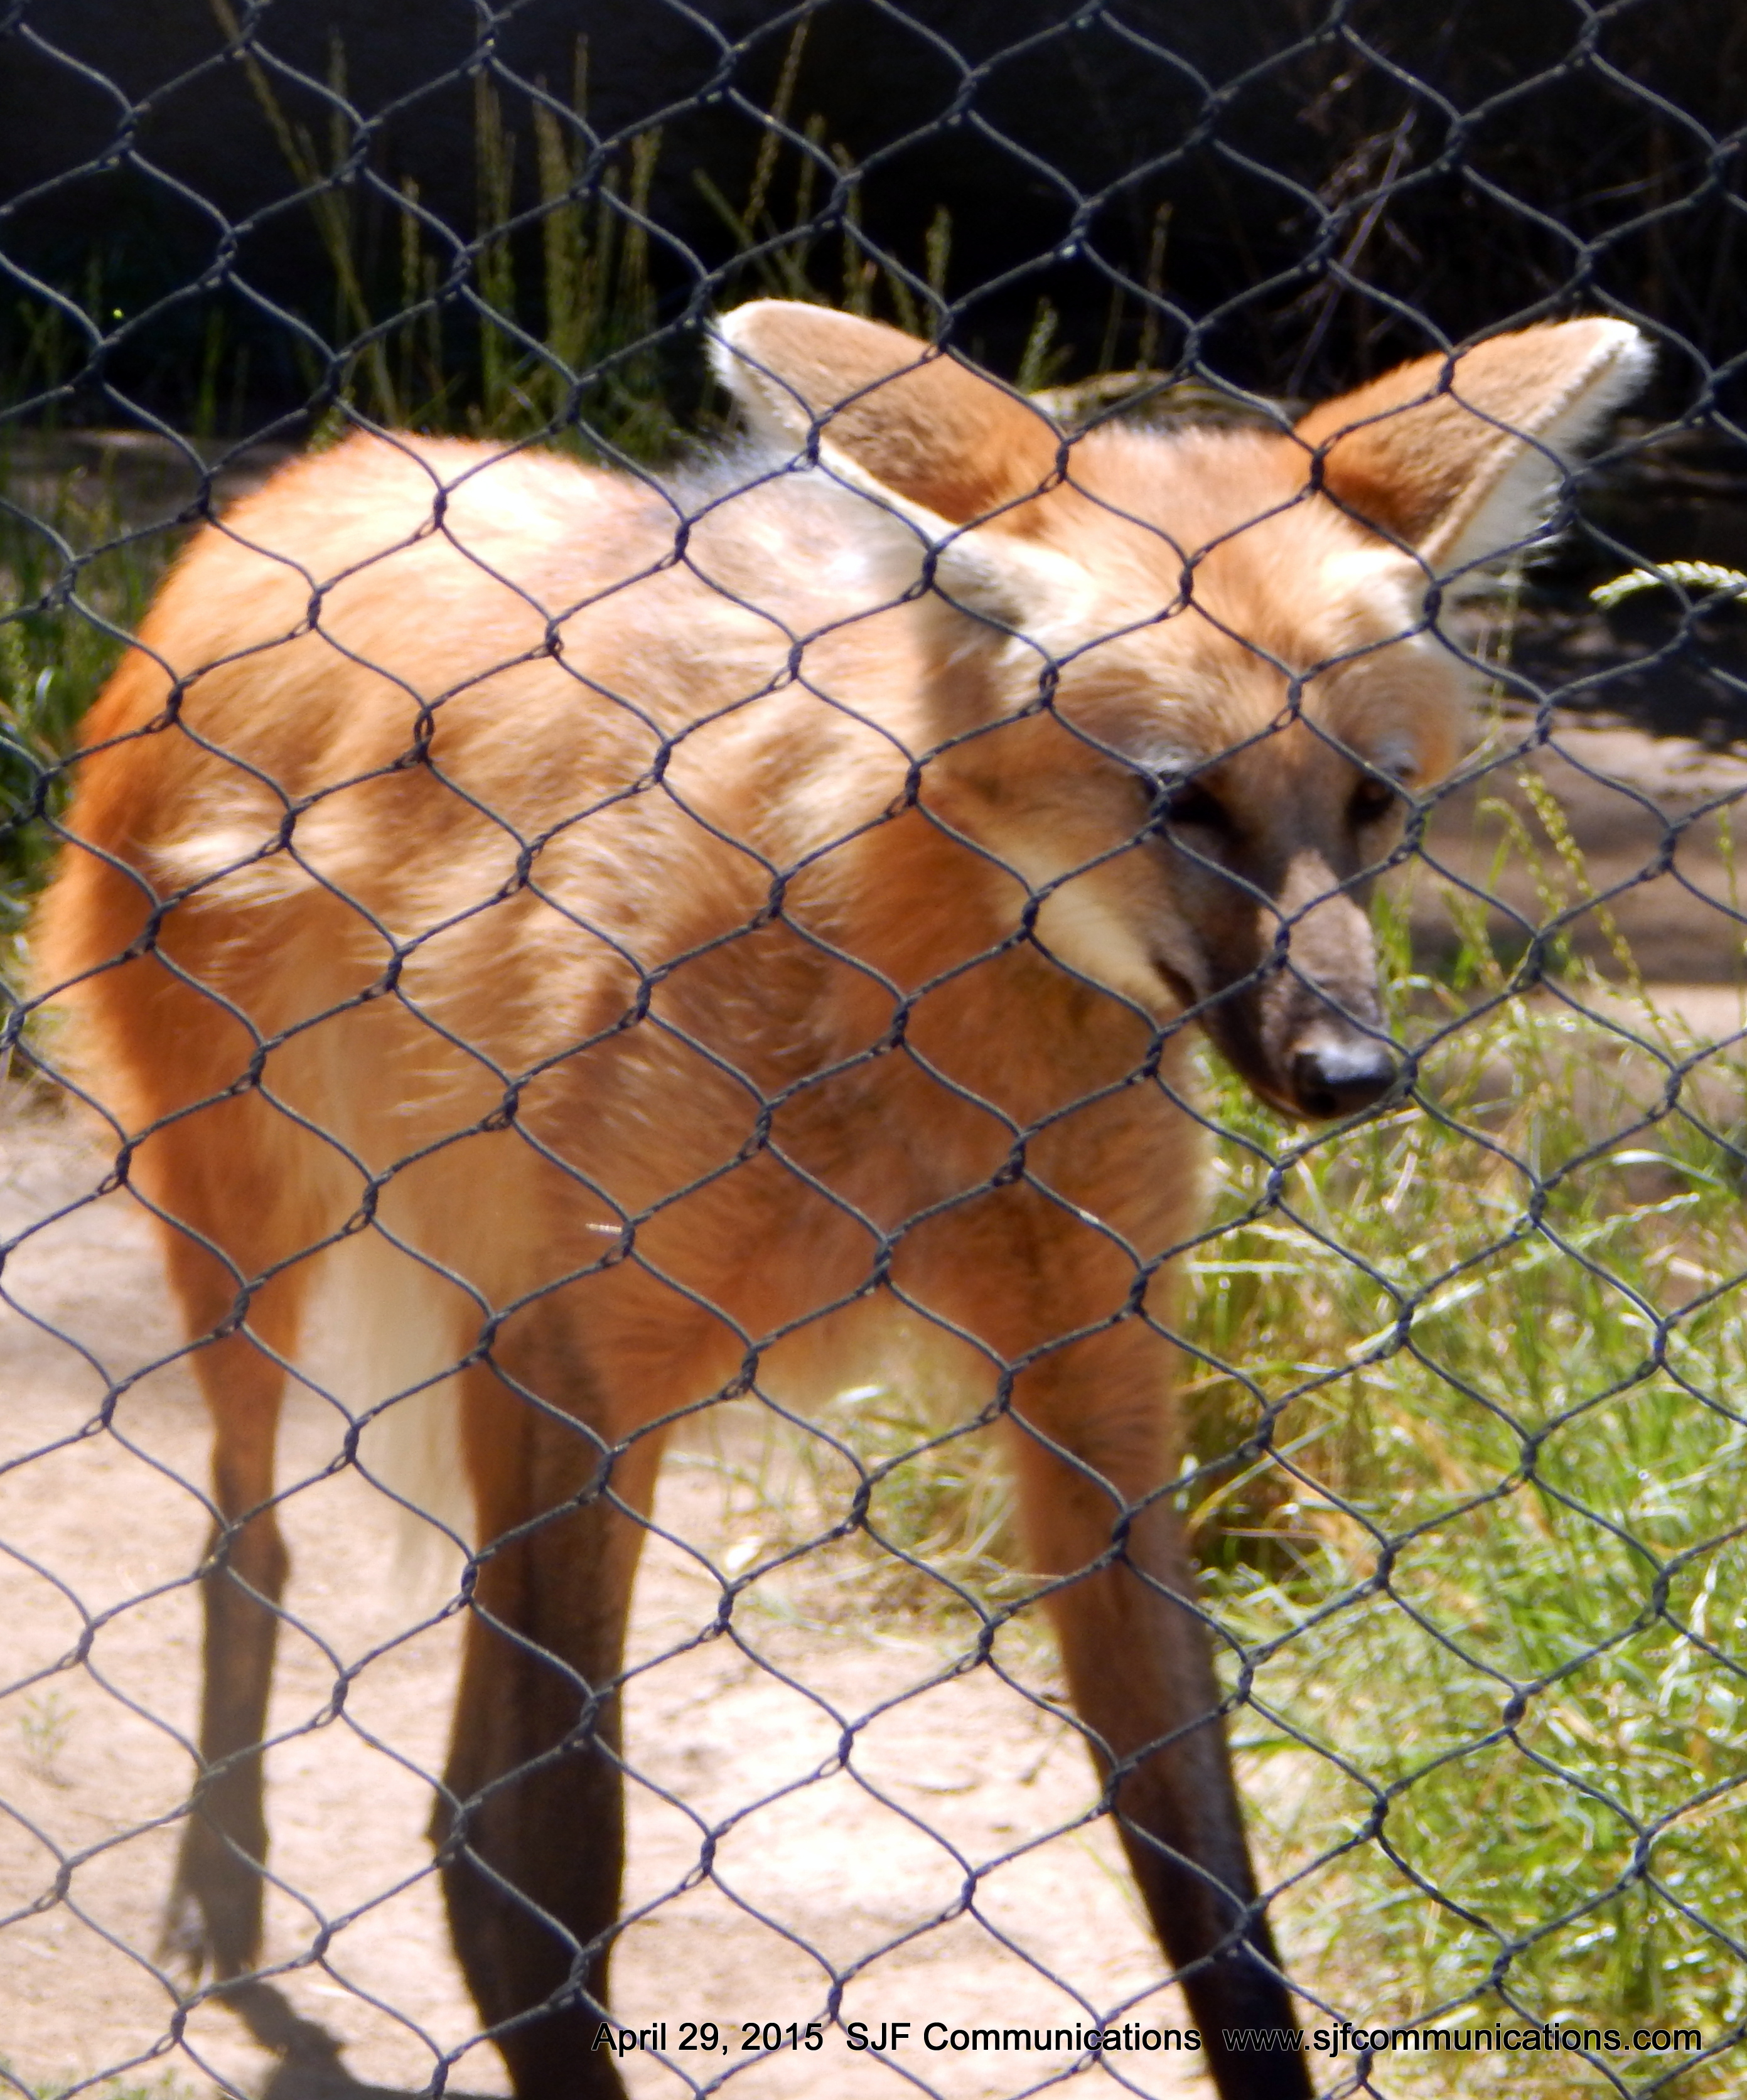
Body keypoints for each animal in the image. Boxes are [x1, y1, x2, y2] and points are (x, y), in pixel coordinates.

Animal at [32, 299, 1648, 2100]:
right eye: (1181, 801)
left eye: (1370, 798)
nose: (1347, 1070)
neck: (920, 1012)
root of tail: (322, 471)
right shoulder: (582, 1366)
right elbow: (536, 1866)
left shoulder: (1089, 1389)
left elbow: (1209, 1890)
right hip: (264, 1227)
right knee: (251, 1542)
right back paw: (217, 1887)